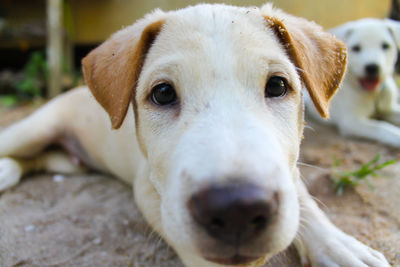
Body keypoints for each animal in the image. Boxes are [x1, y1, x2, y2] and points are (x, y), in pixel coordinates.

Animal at [0, 2, 390, 267]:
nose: (237, 210)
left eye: (278, 85)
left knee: (35, 160)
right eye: (162, 93)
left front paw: (340, 247)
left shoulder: (288, 167)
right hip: (34, 127)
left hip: (67, 162)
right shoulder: (150, 191)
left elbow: (305, 201)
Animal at [308, 17, 400, 148]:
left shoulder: (388, 109)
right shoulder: (351, 122)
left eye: (385, 46)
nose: (372, 67)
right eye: (356, 48)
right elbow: (380, 126)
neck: (372, 94)